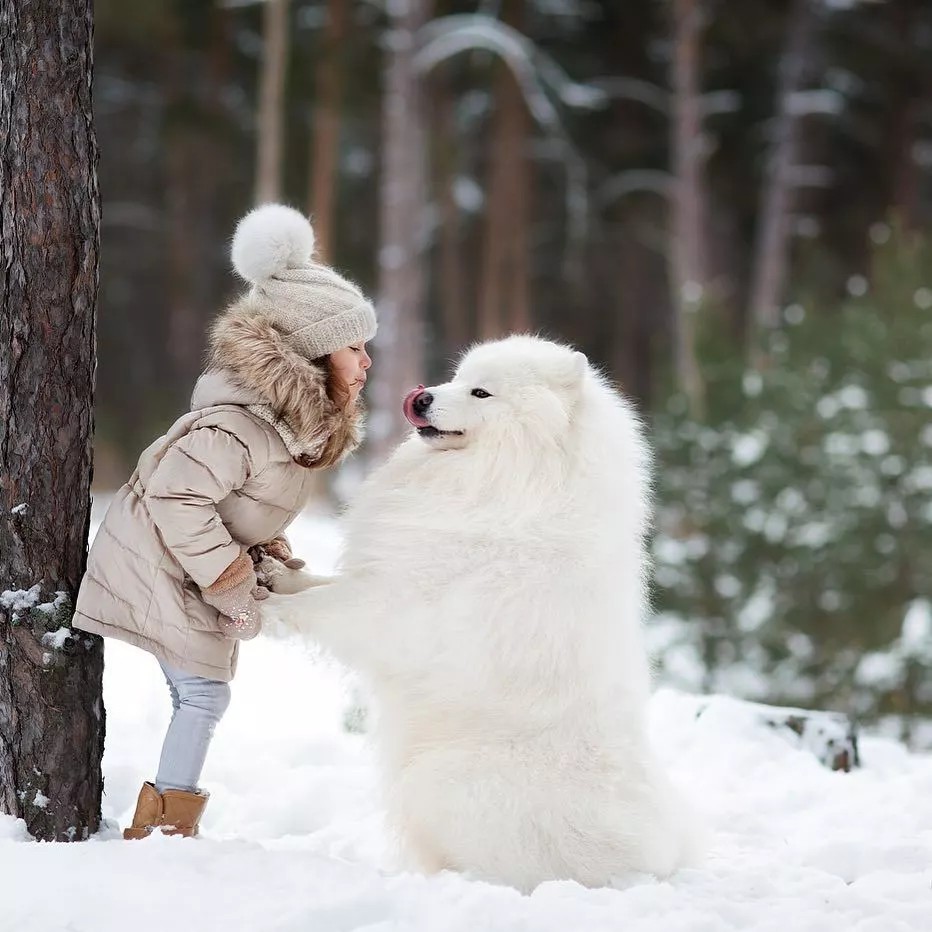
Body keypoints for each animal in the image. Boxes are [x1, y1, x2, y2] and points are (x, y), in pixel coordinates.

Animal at [262, 338, 700, 892]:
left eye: (481, 392)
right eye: (456, 377)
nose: (421, 397)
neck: (511, 483)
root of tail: (661, 860)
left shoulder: (395, 608)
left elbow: (322, 607)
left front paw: (268, 610)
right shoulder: (379, 575)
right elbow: (319, 585)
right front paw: (274, 576)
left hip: (439, 779)